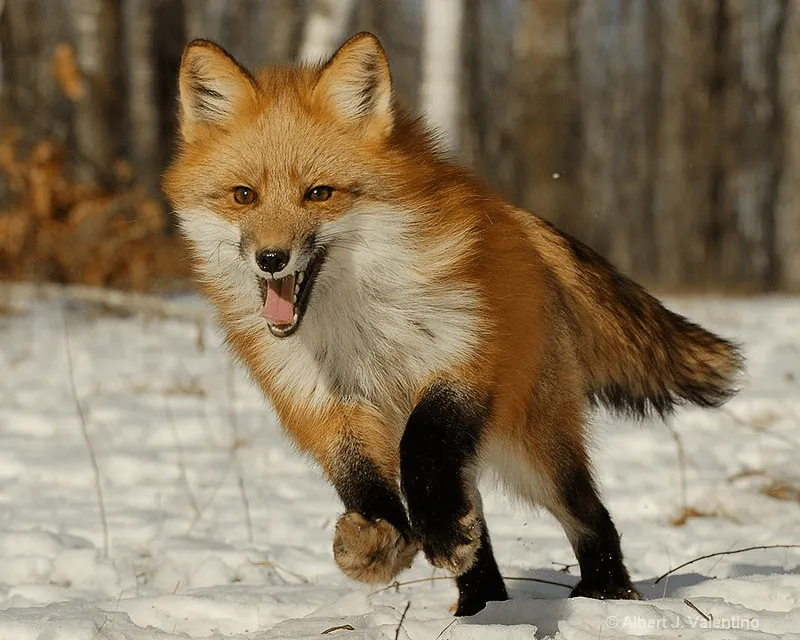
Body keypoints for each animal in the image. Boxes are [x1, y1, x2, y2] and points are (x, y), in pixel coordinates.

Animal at [162, 33, 744, 616]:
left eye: (319, 194)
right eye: (244, 195)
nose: (271, 259)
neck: (358, 325)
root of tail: (516, 219)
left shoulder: (464, 358)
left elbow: (421, 446)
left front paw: (435, 531)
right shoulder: (320, 401)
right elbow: (359, 477)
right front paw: (380, 540)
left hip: (530, 450)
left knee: (589, 516)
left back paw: (605, 594)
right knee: (481, 532)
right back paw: (479, 606)